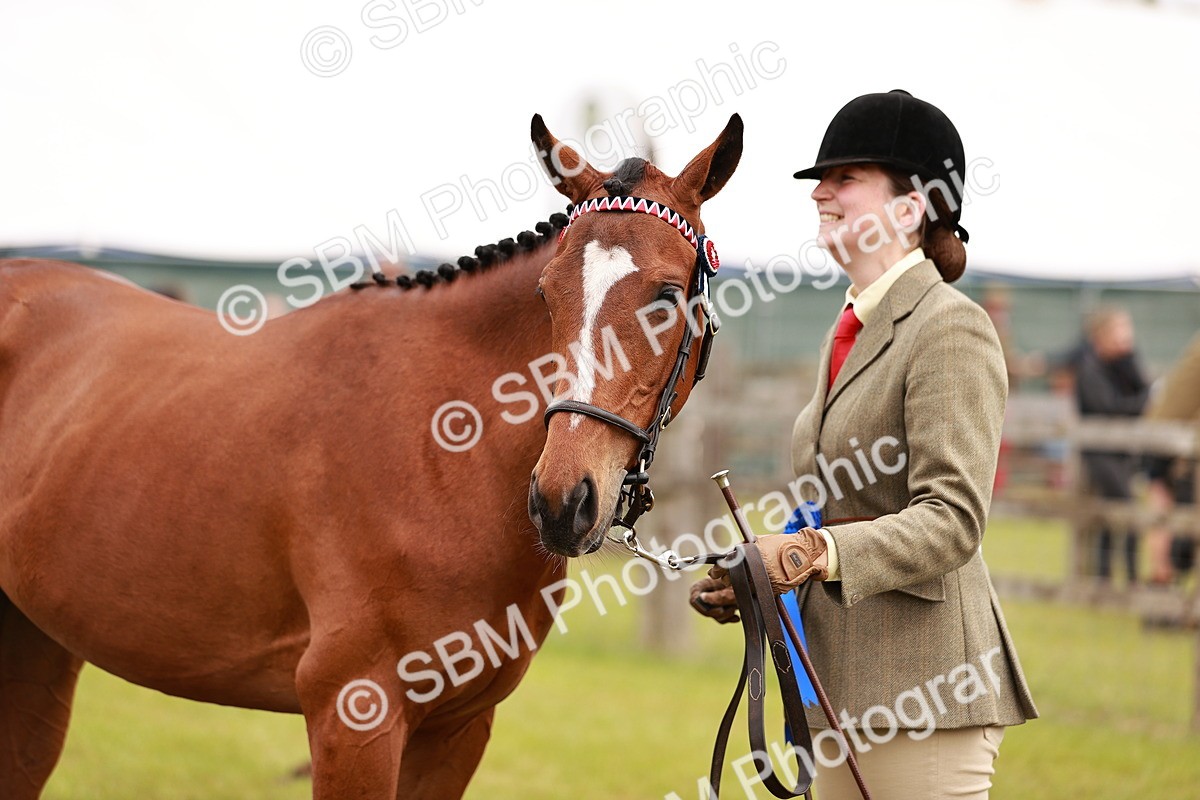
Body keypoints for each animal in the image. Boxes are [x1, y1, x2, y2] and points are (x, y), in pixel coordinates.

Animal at [0, 112, 742, 799]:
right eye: (546, 294)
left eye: (667, 297)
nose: (563, 501)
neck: (444, 450)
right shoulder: (353, 716)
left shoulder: (457, 729)